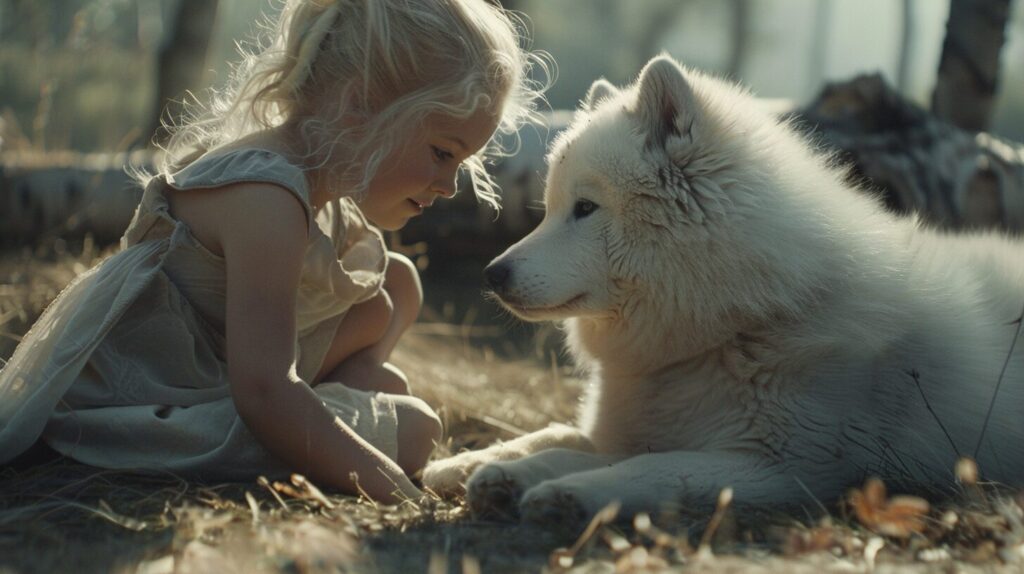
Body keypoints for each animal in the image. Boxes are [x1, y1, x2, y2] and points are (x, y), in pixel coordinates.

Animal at [417, 54, 1024, 527]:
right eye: (549, 209)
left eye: (585, 208)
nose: (493, 274)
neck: (733, 325)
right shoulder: (632, 429)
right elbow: (553, 436)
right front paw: (478, 465)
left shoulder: (783, 467)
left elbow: (647, 469)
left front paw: (569, 492)